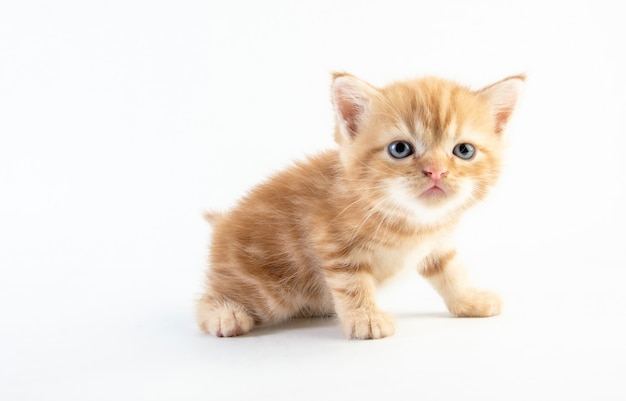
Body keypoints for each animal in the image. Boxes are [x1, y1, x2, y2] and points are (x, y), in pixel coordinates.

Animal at [195, 72, 520, 338]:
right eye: (400, 149)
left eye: (464, 151)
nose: (436, 171)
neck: (411, 219)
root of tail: (222, 224)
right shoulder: (333, 244)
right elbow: (351, 283)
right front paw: (367, 318)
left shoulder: (438, 243)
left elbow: (452, 272)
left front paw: (469, 300)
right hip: (270, 290)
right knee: (205, 303)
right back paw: (225, 315)